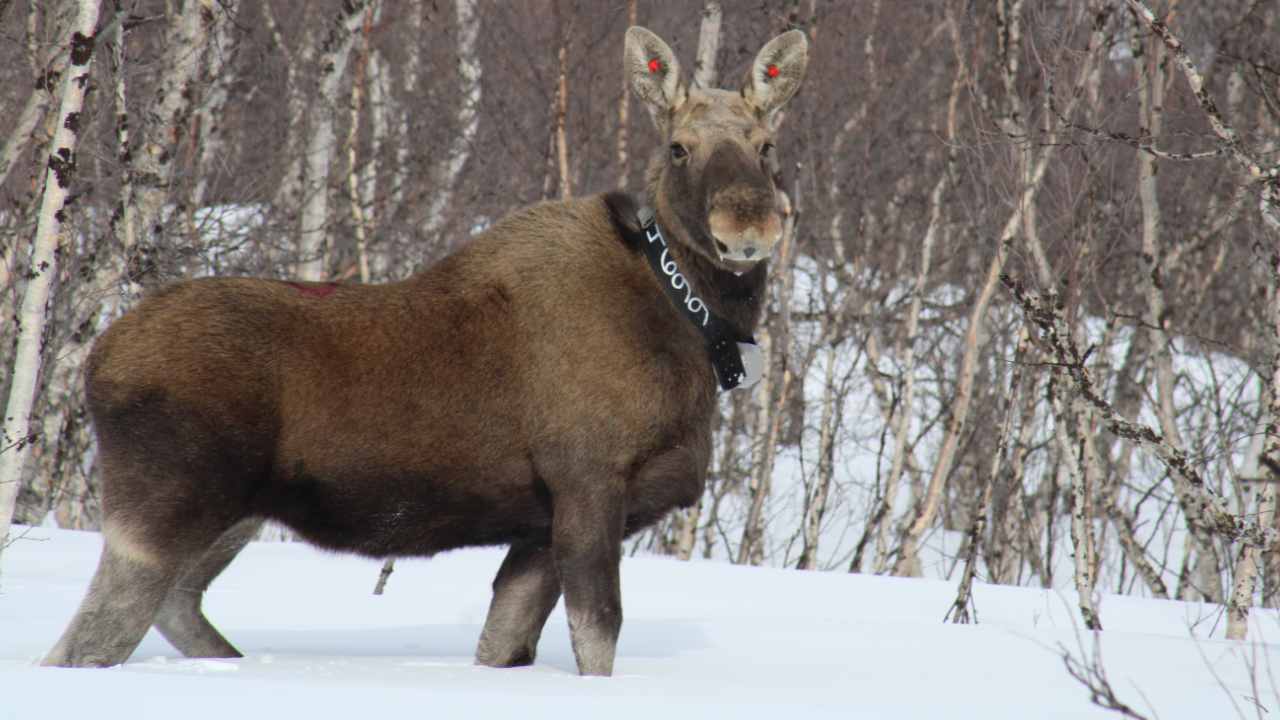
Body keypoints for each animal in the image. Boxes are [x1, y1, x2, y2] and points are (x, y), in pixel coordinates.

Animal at [41, 26, 807, 677]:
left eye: (767, 146)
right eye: (679, 146)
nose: (749, 226)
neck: (694, 334)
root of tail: (96, 360)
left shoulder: (537, 526)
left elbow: (504, 646)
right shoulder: (590, 481)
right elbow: (600, 635)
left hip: (237, 513)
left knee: (175, 606)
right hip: (161, 511)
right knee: (87, 643)